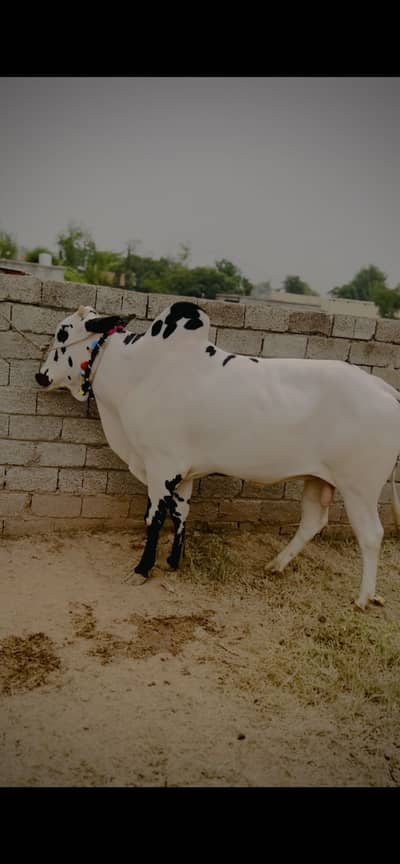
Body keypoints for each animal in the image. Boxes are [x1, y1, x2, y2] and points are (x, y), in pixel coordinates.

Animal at [35, 300, 400, 610]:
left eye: (63, 333)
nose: (40, 375)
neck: (138, 371)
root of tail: (385, 389)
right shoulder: (182, 473)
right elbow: (181, 513)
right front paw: (174, 561)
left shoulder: (160, 466)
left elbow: (154, 518)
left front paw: (142, 568)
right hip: (318, 479)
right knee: (313, 521)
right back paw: (276, 564)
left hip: (360, 488)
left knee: (371, 535)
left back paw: (363, 598)